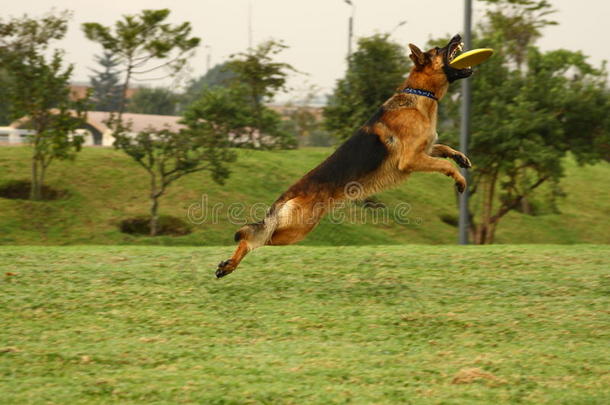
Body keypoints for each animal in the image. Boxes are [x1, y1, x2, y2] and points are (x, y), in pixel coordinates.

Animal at [216, 34, 472, 276]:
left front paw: (460, 157)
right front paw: (460, 180)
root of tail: (287, 195)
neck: (420, 94)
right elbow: (445, 165)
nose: (458, 36)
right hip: (294, 230)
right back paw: (229, 265)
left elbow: (444, 150)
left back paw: (228, 265)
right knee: (252, 239)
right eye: (438, 49)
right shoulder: (410, 159)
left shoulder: (424, 150)